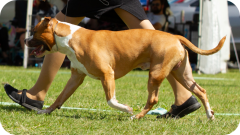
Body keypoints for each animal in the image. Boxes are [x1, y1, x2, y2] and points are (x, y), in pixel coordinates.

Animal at [25, 16, 226, 119]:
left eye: (34, 32)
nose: (26, 40)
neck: (70, 38)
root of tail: (175, 36)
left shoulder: (107, 74)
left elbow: (110, 100)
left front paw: (127, 109)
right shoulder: (76, 77)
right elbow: (60, 98)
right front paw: (45, 110)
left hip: (156, 73)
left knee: (153, 99)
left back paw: (136, 117)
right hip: (182, 74)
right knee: (201, 91)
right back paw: (209, 115)